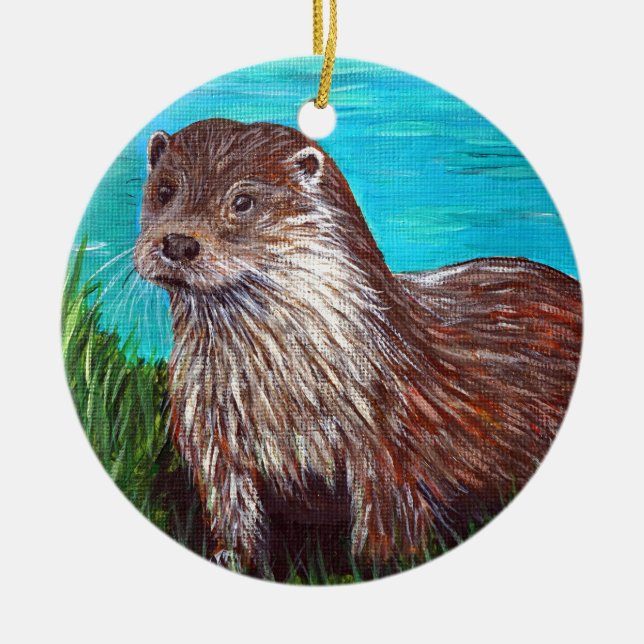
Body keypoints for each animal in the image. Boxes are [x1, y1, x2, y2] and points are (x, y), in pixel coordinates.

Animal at [134, 118, 582, 573]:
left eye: (243, 201)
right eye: (165, 190)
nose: (178, 243)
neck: (277, 393)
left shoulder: (388, 440)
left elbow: (386, 521)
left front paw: (374, 564)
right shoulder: (209, 434)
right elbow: (231, 507)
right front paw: (235, 557)